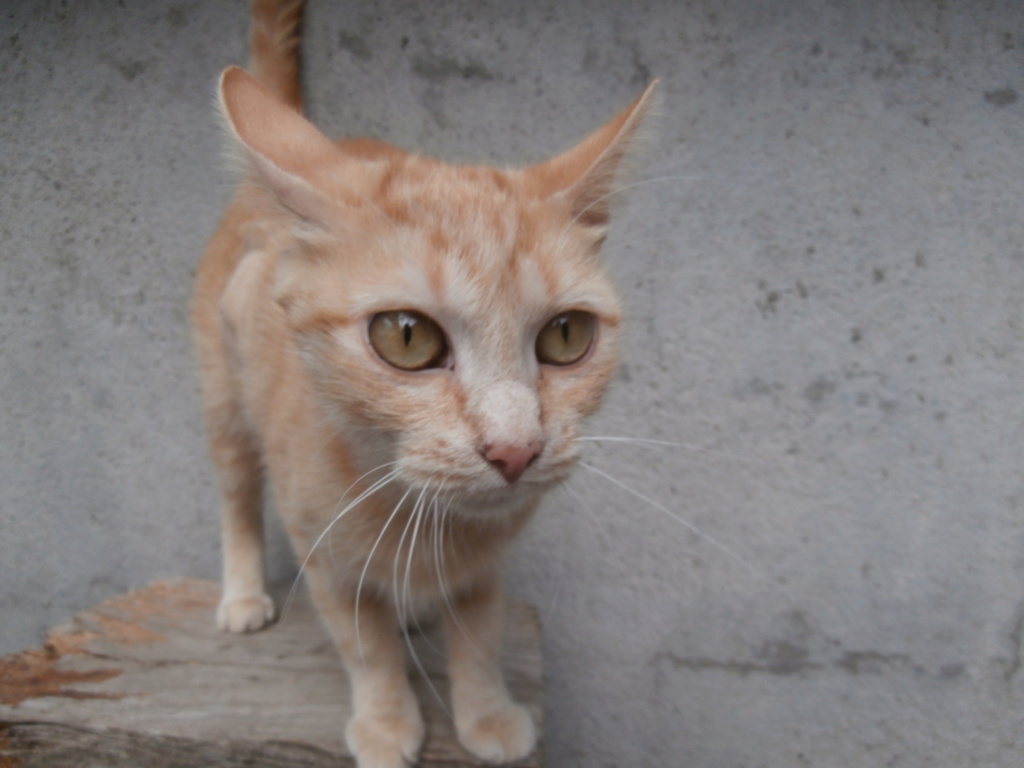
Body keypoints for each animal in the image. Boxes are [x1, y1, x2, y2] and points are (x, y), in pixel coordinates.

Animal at [192, 1, 655, 768]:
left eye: (566, 336)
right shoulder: (324, 558)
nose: (515, 449)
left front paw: (486, 710)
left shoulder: (489, 564)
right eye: (406, 337)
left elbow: (480, 631)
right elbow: (364, 643)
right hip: (224, 397)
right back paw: (243, 594)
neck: (420, 513)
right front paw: (385, 720)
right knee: (234, 492)